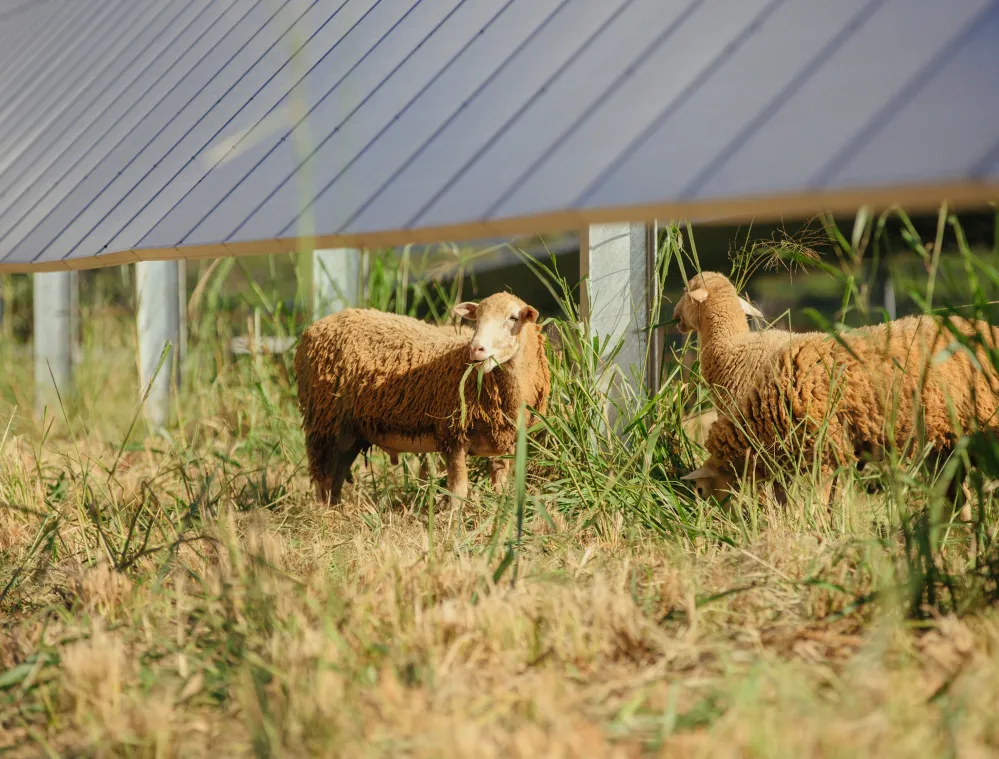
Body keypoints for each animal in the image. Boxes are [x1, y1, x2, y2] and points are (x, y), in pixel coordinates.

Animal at [294, 292, 551, 506]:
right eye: (477, 318)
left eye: (513, 318)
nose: (476, 348)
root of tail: (315, 327)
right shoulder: (453, 434)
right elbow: (458, 491)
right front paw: (452, 523)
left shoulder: (501, 442)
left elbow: (499, 486)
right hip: (324, 422)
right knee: (323, 477)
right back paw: (325, 515)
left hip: (351, 432)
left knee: (336, 476)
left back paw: (337, 510)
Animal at [673, 271, 999, 502]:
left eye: (686, 293)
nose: (675, 318)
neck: (734, 348)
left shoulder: (819, 447)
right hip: (947, 442)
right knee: (957, 497)